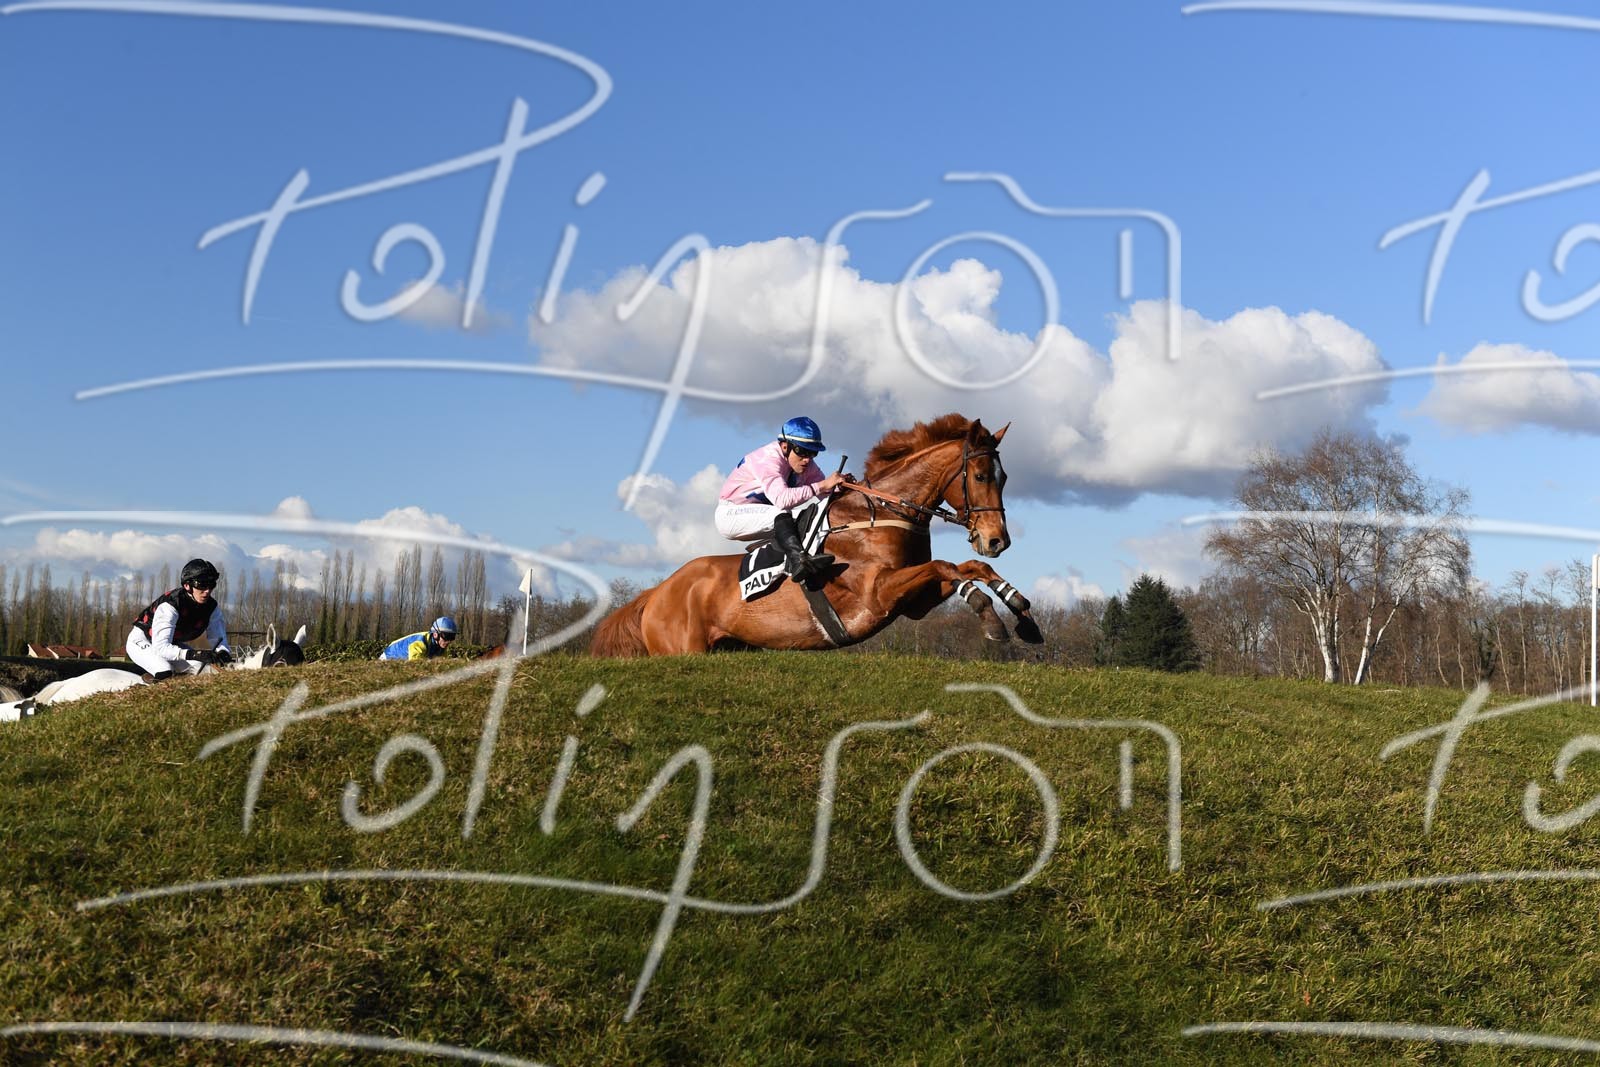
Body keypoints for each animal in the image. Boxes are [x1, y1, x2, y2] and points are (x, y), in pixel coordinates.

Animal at [590, 413, 1041, 657]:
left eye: (1004, 477)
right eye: (980, 476)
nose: (997, 540)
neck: (880, 515)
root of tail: (655, 594)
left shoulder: (911, 602)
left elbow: (968, 566)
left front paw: (1020, 611)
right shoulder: (877, 593)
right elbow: (947, 565)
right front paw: (991, 617)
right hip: (683, 647)